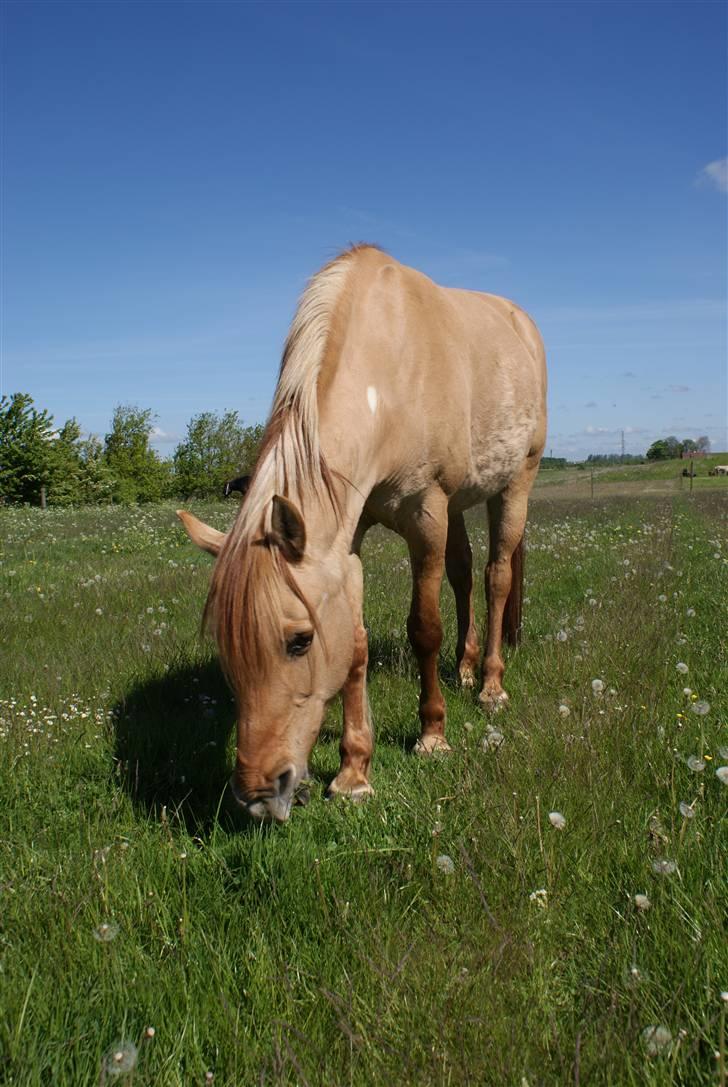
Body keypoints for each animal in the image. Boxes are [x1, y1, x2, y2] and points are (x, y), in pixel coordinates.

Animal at [179, 244, 547, 821]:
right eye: (227, 647)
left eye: (300, 641)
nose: (259, 796)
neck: (390, 374)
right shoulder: (344, 541)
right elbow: (354, 645)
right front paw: (354, 773)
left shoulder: (427, 515)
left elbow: (424, 628)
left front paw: (432, 735)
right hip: (462, 503)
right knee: (465, 577)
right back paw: (464, 669)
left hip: (514, 485)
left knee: (496, 578)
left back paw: (489, 685)